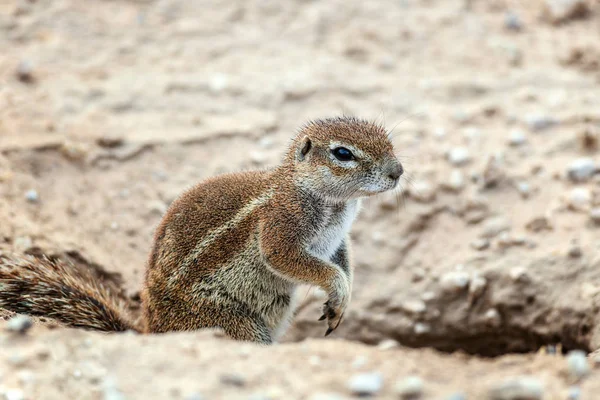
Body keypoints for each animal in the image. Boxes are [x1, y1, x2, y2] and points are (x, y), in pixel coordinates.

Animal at [1, 116, 404, 344]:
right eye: (343, 153)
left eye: (389, 141)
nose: (398, 172)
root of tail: (151, 331)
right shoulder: (281, 225)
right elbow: (291, 259)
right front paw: (337, 288)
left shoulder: (338, 239)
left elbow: (343, 261)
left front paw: (344, 297)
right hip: (230, 324)